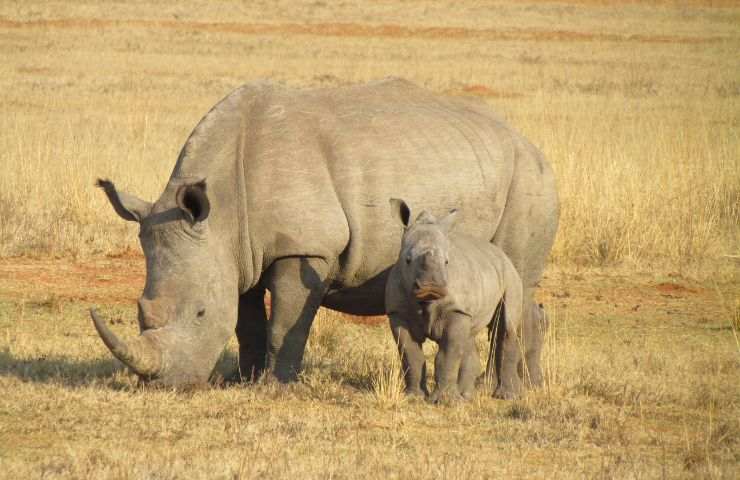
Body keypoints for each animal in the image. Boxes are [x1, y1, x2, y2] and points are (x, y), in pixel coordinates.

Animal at [384, 199, 524, 402]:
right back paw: (467, 396)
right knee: (469, 337)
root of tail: (501, 254)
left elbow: (448, 354)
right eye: (407, 260)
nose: (431, 287)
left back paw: (507, 396)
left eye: (447, 262)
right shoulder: (398, 312)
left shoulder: (456, 309)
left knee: (506, 327)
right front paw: (413, 397)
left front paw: (445, 401)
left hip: (511, 276)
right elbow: (411, 355)